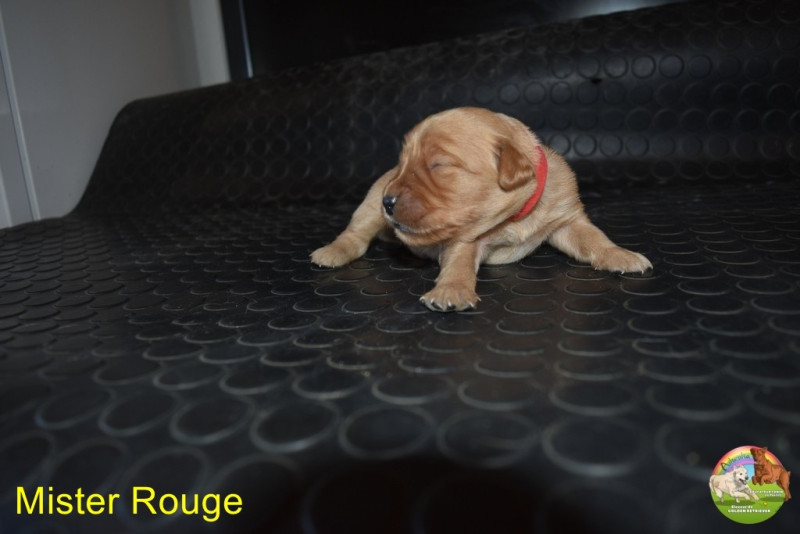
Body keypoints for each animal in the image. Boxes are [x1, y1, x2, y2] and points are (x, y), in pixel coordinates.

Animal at [311, 107, 652, 311]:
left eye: (438, 165)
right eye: (403, 163)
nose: (389, 201)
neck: (516, 217)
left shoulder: (566, 219)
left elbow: (594, 239)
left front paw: (620, 255)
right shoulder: (465, 237)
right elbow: (458, 262)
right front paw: (451, 291)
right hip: (368, 207)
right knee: (355, 235)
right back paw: (331, 253)